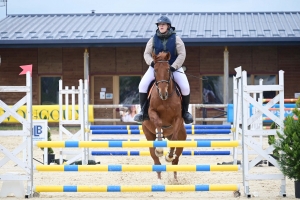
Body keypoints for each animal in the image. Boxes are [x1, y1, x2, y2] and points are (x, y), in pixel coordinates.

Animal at [142, 51, 186, 183]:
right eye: (155, 70)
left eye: (168, 70)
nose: (163, 93)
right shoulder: (152, 112)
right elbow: (159, 123)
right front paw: (160, 148)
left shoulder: (178, 118)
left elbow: (174, 140)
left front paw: (169, 156)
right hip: (148, 135)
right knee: (156, 160)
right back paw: (159, 180)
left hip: (182, 138)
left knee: (176, 159)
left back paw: (175, 179)